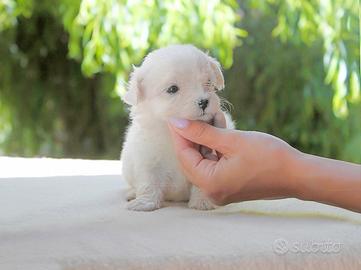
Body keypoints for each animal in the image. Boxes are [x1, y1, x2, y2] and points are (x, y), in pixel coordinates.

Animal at [121, 44, 232, 211]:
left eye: (207, 82)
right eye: (172, 89)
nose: (204, 102)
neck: (169, 131)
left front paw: (202, 202)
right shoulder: (147, 158)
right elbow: (148, 182)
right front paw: (145, 202)